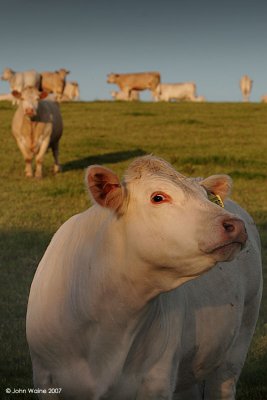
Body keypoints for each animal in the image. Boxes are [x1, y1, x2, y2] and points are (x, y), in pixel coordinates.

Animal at [26, 155, 262, 400]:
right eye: (158, 197)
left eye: (206, 196)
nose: (235, 225)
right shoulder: (44, 378)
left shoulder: (158, 379)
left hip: (239, 341)